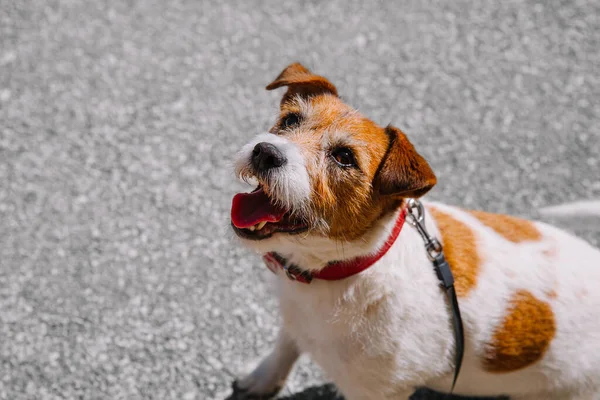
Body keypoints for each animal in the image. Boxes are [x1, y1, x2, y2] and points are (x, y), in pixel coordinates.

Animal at [230, 62, 600, 396]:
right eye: (291, 120)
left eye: (344, 157)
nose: (265, 152)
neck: (338, 270)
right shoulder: (293, 317)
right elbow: (284, 347)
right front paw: (261, 379)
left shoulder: (375, 392)